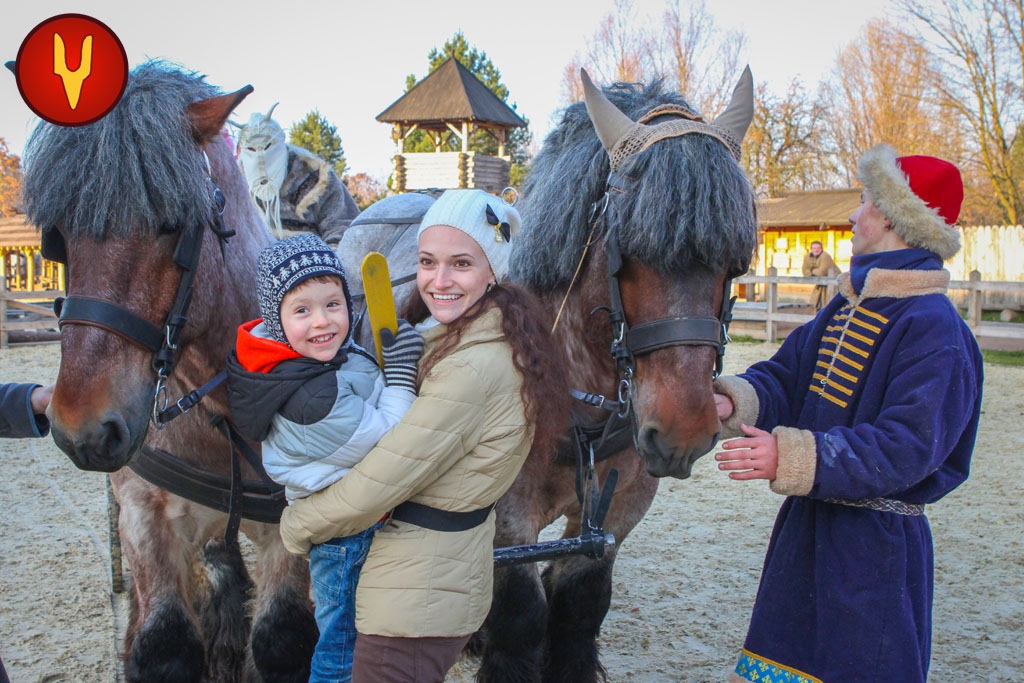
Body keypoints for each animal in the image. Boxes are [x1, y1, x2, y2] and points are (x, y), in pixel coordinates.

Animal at [21, 62, 318, 682]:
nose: (82, 428)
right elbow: (164, 644)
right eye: (58, 235)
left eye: (172, 223)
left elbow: (283, 638)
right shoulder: (143, 515)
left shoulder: (292, 524)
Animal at [337, 69, 758, 681]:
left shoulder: (620, 508)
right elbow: (521, 619)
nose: (684, 428)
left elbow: (578, 609)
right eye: (625, 248)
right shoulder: (505, 511)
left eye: (735, 260)